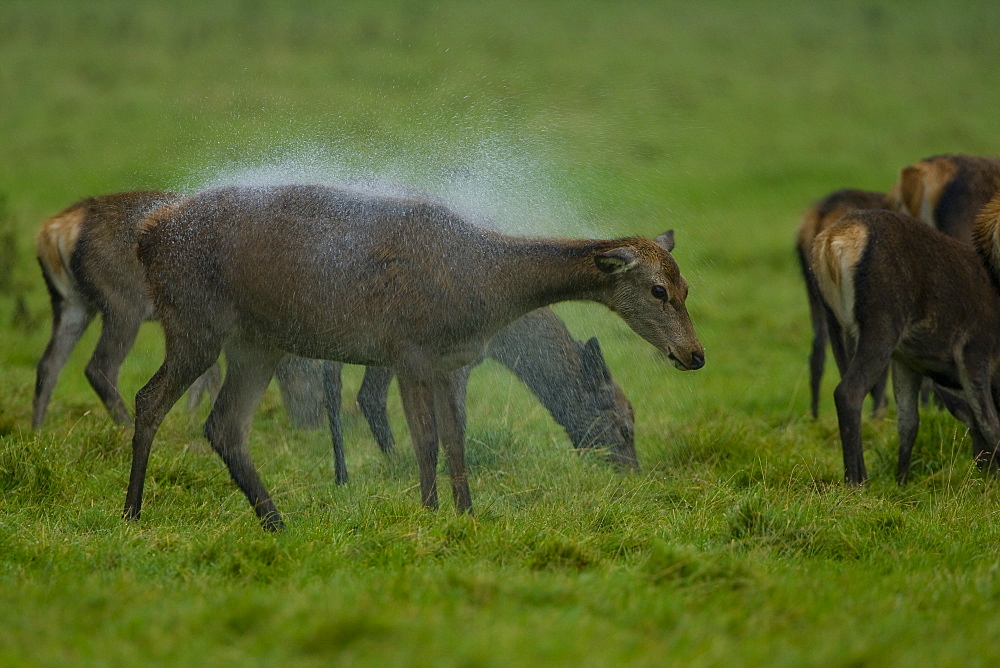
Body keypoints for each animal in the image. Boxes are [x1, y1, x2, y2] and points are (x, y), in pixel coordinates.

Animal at [127, 183, 704, 528]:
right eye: (657, 290)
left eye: (687, 286)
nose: (694, 355)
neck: (485, 292)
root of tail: (146, 235)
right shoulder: (407, 350)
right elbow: (425, 441)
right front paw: (428, 513)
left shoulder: (451, 362)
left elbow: (456, 440)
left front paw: (467, 515)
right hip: (195, 322)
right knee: (149, 399)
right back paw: (132, 512)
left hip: (257, 342)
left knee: (225, 426)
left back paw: (277, 522)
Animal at [808, 206, 1000, 482]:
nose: (984, 473)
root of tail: (830, 244)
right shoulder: (974, 349)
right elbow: (991, 423)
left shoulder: (908, 360)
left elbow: (909, 422)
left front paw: (902, 482)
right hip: (882, 322)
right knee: (848, 392)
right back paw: (856, 481)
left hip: (836, 326)